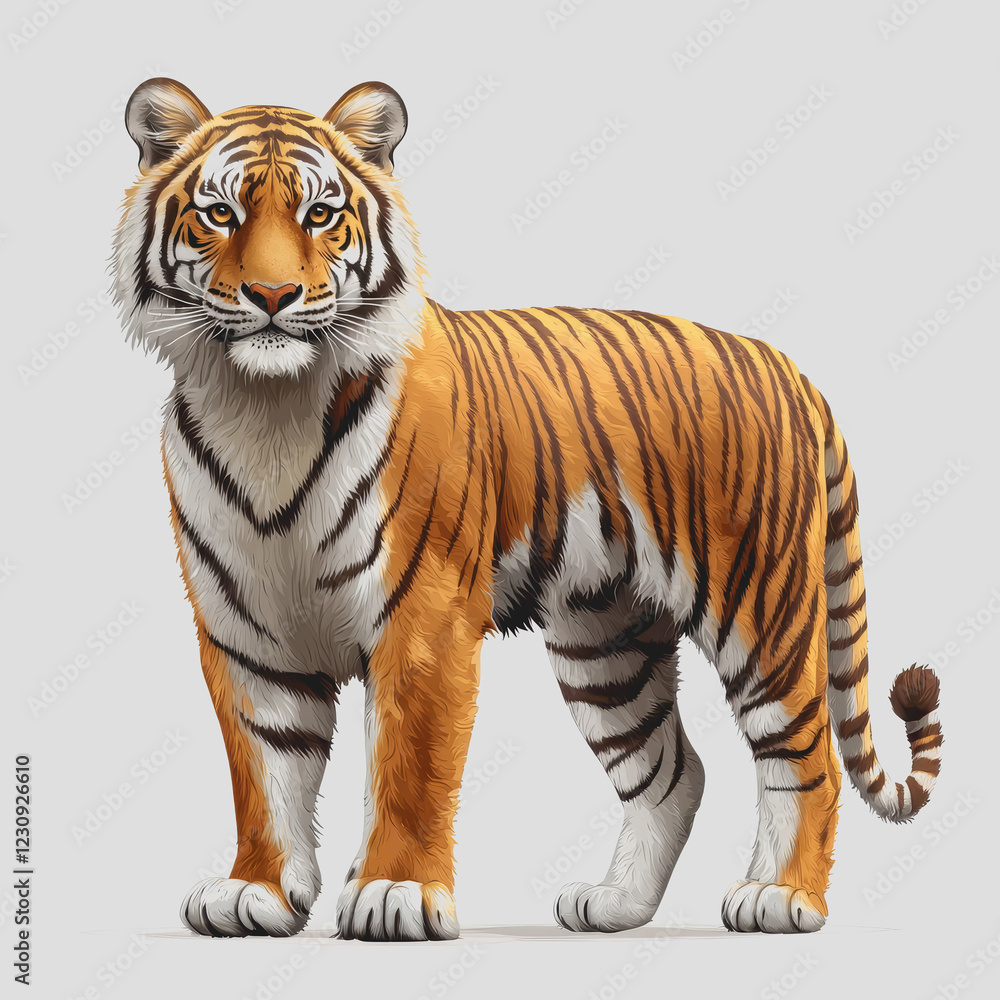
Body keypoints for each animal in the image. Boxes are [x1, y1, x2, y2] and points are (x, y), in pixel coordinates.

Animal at [112, 77, 943, 941]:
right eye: (219, 213)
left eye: (319, 214)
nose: (272, 296)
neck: (265, 406)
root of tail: (789, 368)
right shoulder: (246, 632)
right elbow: (265, 773)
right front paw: (259, 892)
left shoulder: (425, 613)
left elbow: (410, 767)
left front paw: (395, 893)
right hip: (606, 643)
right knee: (673, 771)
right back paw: (614, 904)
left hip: (762, 609)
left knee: (807, 755)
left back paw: (781, 896)